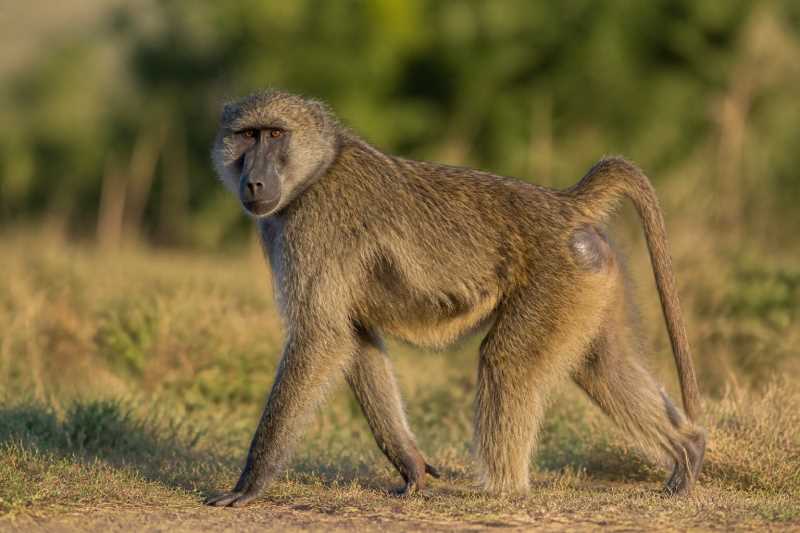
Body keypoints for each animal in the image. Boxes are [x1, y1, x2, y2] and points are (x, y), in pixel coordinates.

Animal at [204, 90, 705, 507]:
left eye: (274, 134)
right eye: (246, 135)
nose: (254, 183)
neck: (318, 170)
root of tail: (564, 203)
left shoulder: (315, 227)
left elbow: (320, 338)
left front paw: (249, 485)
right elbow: (356, 339)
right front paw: (411, 466)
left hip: (558, 280)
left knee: (508, 362)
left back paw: (501, 491)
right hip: (592, 276)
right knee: (604, 366)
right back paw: (686, 452)